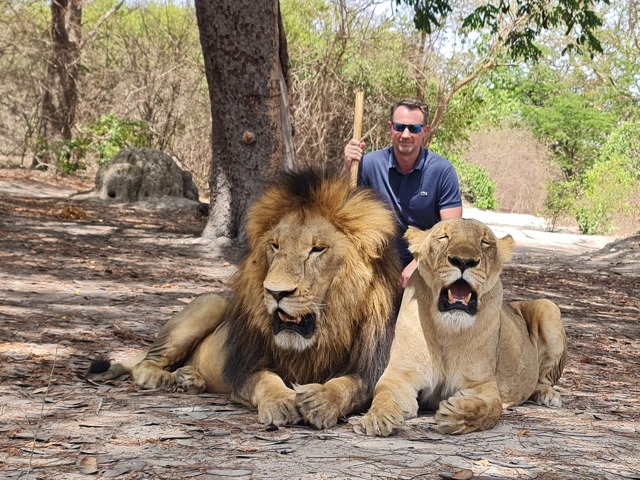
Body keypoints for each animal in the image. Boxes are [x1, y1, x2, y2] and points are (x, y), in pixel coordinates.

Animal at [89, 168, 400, 428]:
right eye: (275, 245)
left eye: (318, 249)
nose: (275, 292)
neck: (312, 341)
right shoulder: (244, 367)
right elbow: (265, 380)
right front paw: (281, 402)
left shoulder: (367, 369)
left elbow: (347, 386)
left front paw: (321, 400)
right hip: (212, 304)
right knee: (145, 362)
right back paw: (162, 377)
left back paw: (189, 378)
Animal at [360, 219, 564, 436]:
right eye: (443, 237)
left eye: (485, 242)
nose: (463, 261)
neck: (446, 331)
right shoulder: (399, 375)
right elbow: (383, 393)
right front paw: (378, 418)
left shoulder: (482, 384)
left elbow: (491, 408)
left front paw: (457, 415)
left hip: (549, 307)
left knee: (543, 378)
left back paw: (548, 396)